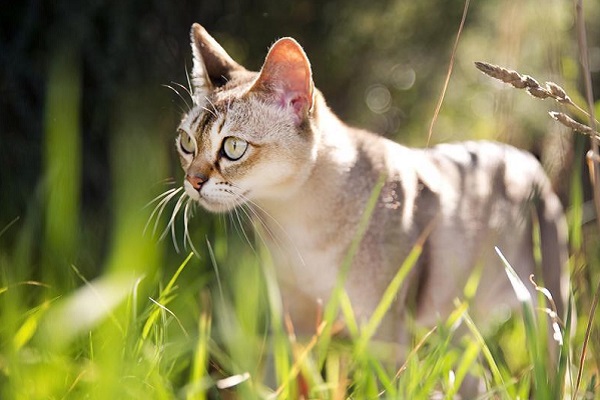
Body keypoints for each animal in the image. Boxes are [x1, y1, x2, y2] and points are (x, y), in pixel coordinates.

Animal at [172, 22, 568, 350]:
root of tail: (527, 158)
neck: (299, 226)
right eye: (186, 142)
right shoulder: (295, 324)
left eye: (233, 148)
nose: (193, 181)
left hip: (550, 314)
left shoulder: (382, 331)